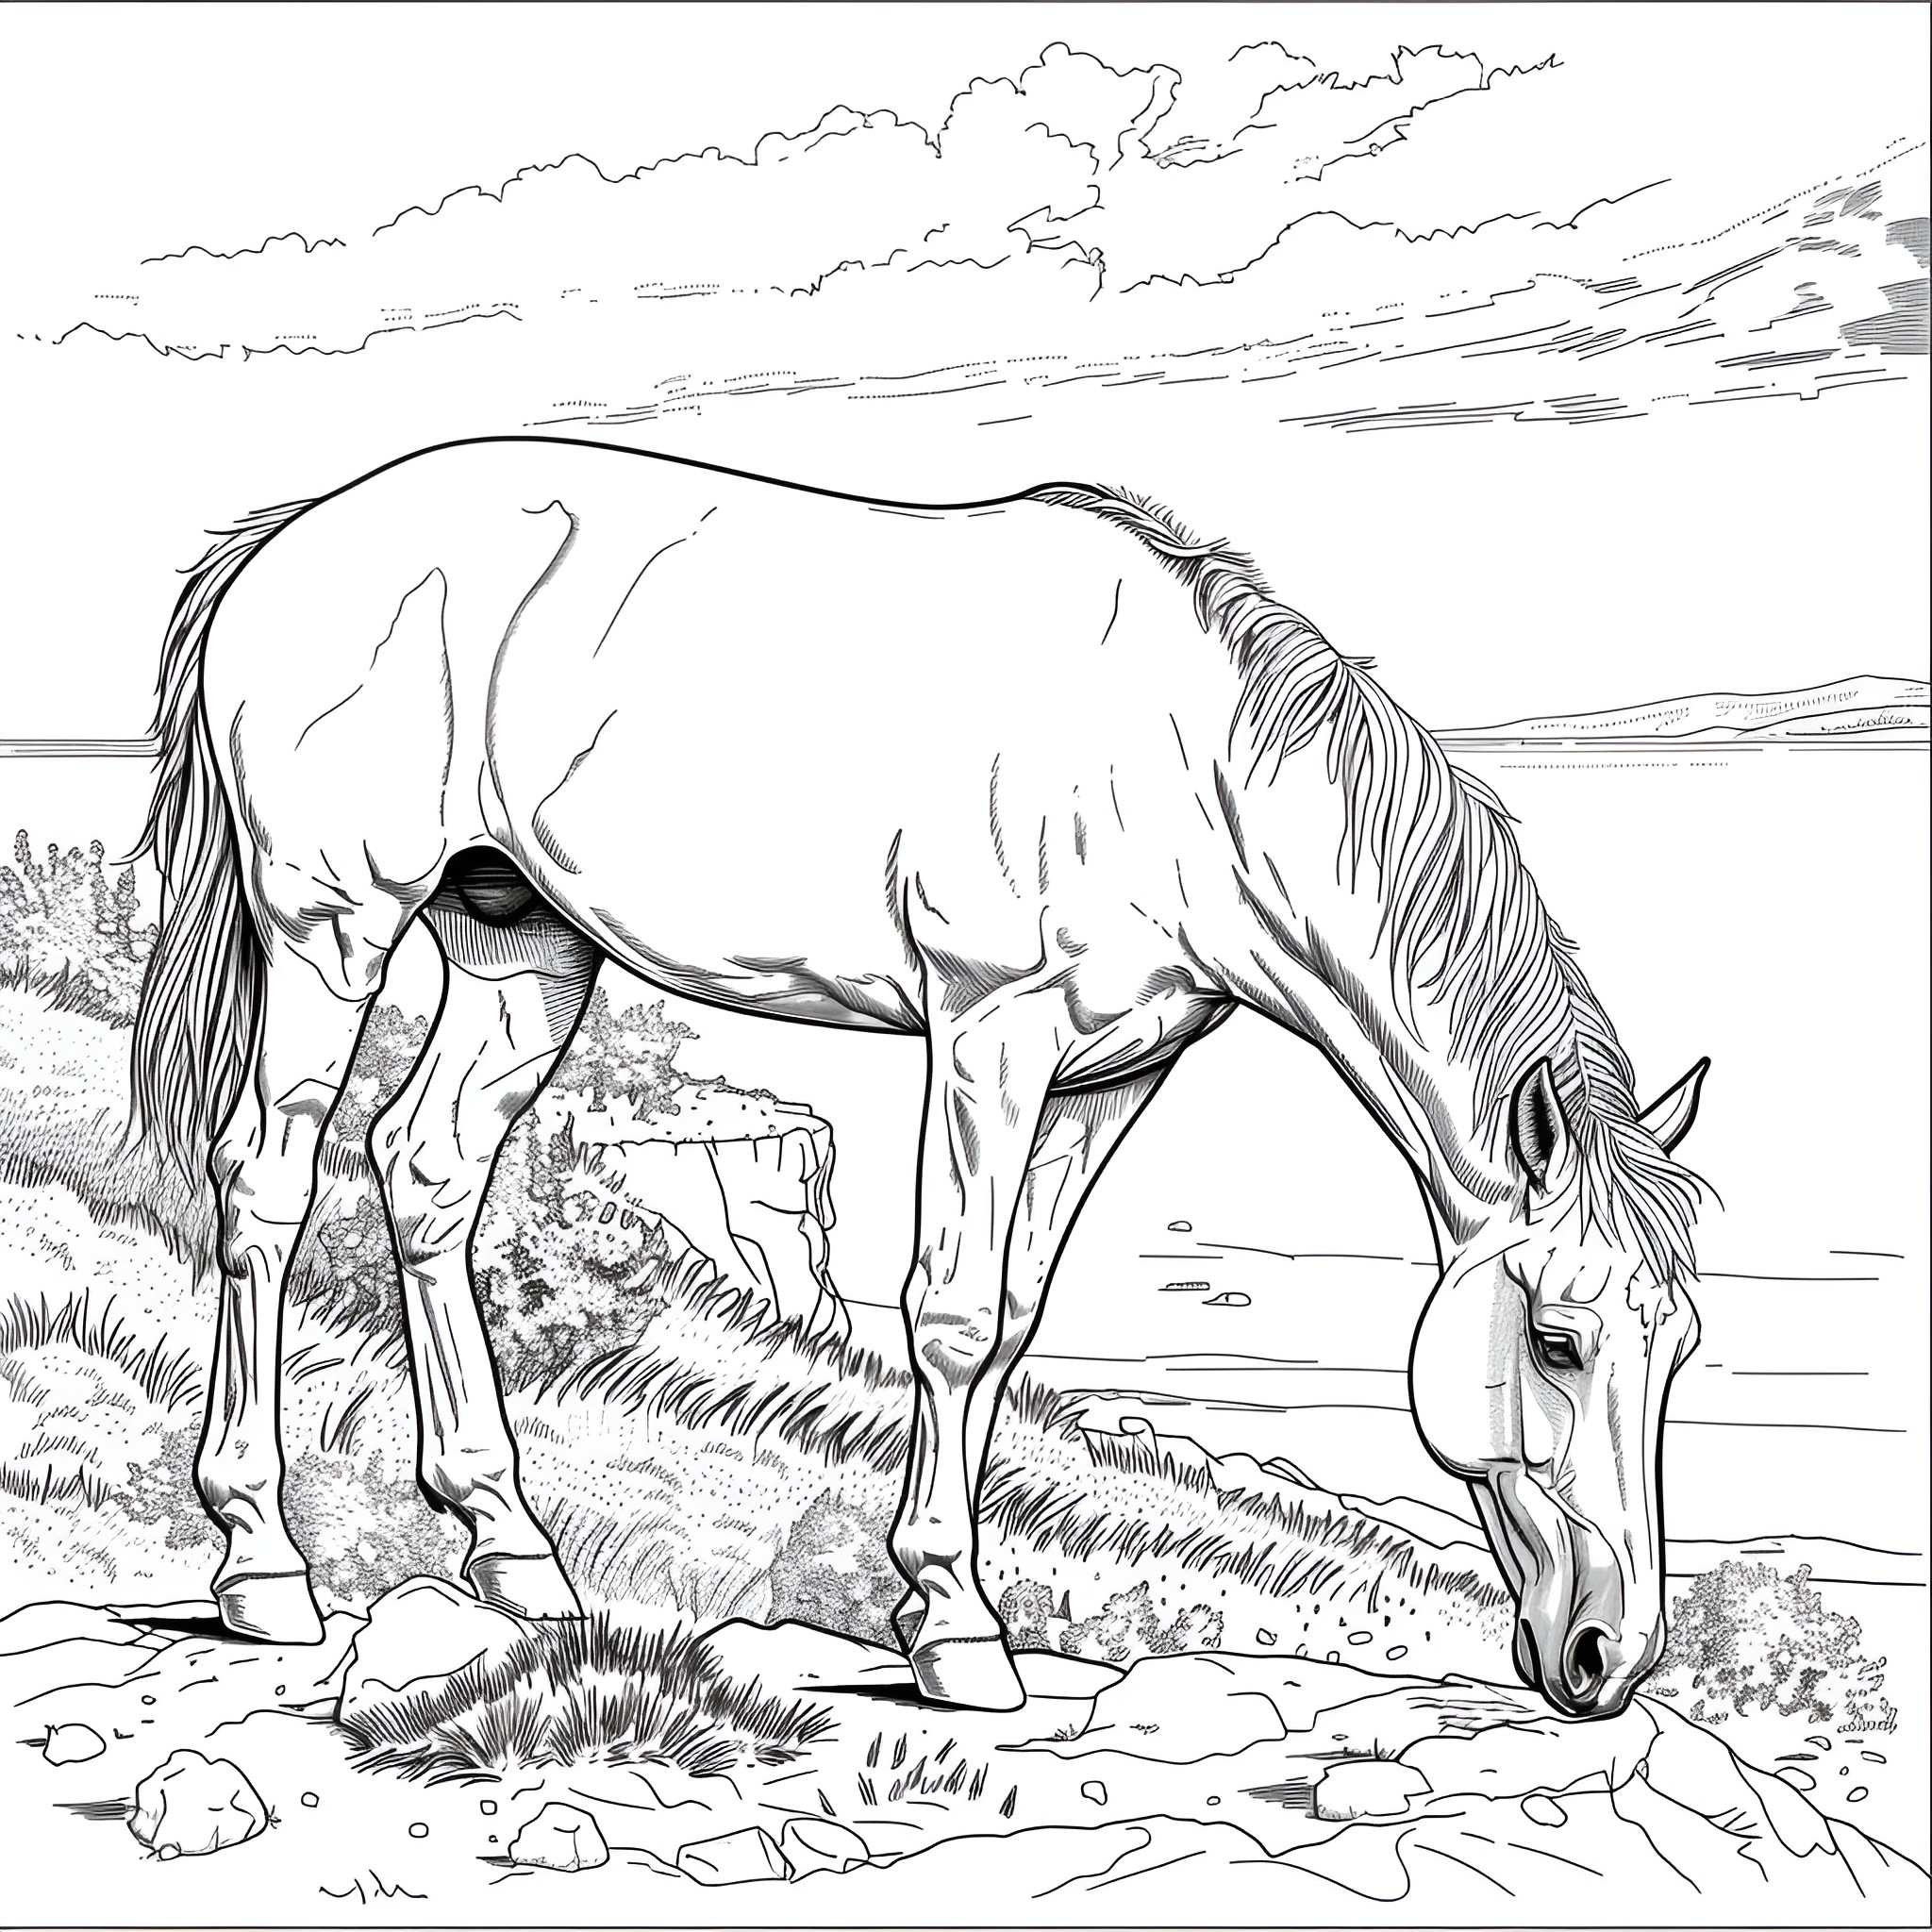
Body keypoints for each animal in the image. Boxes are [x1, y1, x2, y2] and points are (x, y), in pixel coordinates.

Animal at [130, 435, 1710, 1717]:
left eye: (1679, 1348)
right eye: (1557, 1340)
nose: (1609, 1659)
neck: (1186, 768)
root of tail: (283, 540)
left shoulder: (1108, 1077)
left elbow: (1009, 1323)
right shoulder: (989, 1035)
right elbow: (948, 1316)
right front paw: (956, 1631)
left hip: (516, 942)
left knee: (430, 1172)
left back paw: (512, 1549)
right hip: (331, 928)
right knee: (267, 1183)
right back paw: (260, 1564)